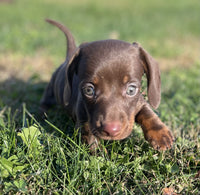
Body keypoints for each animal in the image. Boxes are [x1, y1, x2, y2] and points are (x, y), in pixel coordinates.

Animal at [40, 19, 173, 151]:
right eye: (89, 90)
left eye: (131, 90)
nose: (111, 130)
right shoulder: (83, 120)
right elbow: (90, 139)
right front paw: (99, 153)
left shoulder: (139, 101)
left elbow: (147, 112)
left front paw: (160, 134)